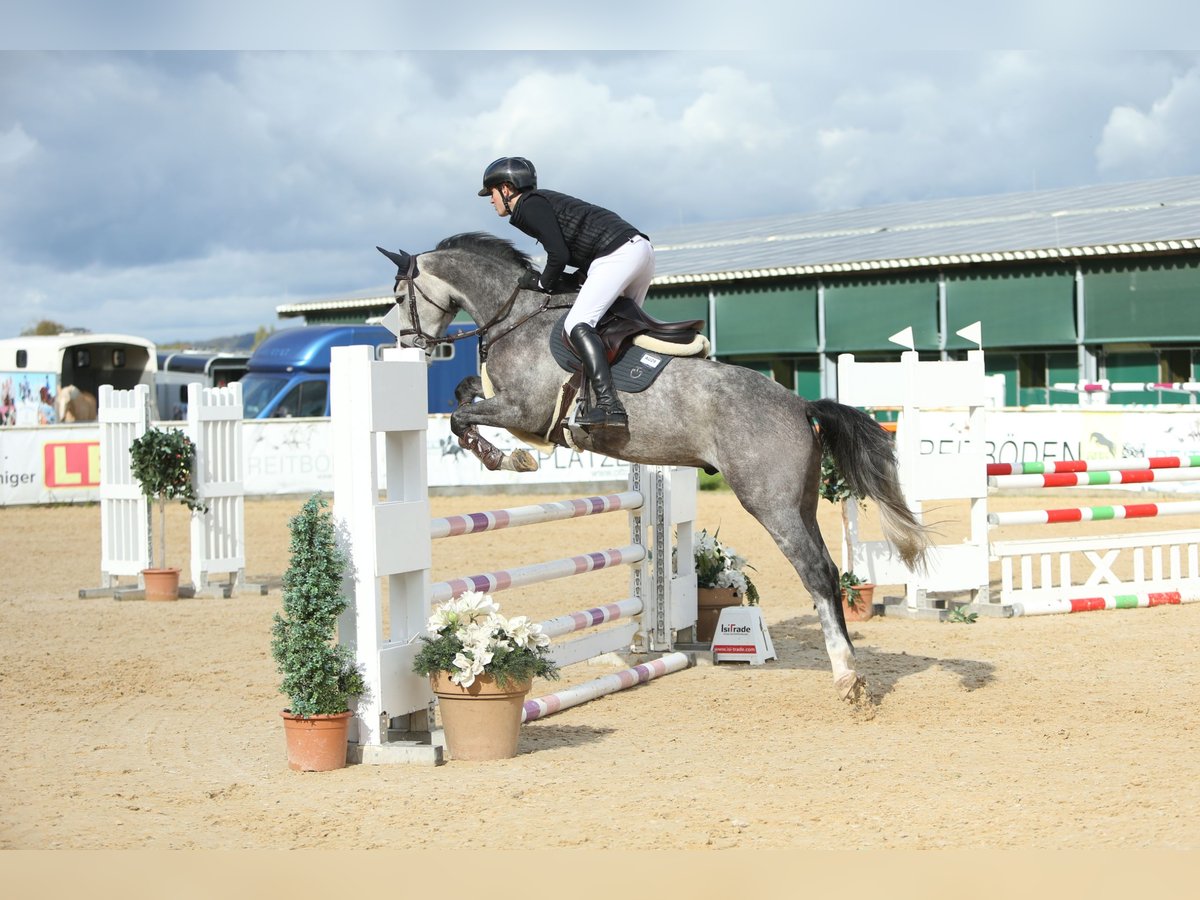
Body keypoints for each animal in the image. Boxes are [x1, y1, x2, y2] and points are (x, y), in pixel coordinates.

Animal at [379, 230, 931, 696]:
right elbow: (461, 395)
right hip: (802, 502)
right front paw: (503, 452)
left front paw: (505, 457)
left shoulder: (523, 411)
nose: (408, 345)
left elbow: (460, 417)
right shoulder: (509, 404)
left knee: (814, 570)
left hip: (769, 502)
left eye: (400, 295)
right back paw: (851, 667)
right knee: (829, 570)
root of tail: (800, 404)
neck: (517, 318)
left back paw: (846, 676)